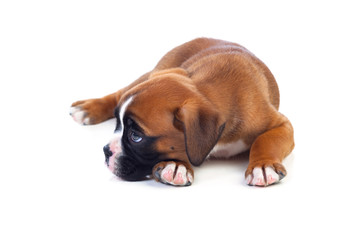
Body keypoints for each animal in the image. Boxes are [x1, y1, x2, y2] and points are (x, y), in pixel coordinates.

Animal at [69, 38, 294, 188]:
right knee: (118, 93)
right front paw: (176, 165)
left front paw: (262, 165)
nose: (106, 150)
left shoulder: (282, 125)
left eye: (136, 136)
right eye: (118, 125)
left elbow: (266, 140)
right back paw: (87, 108)